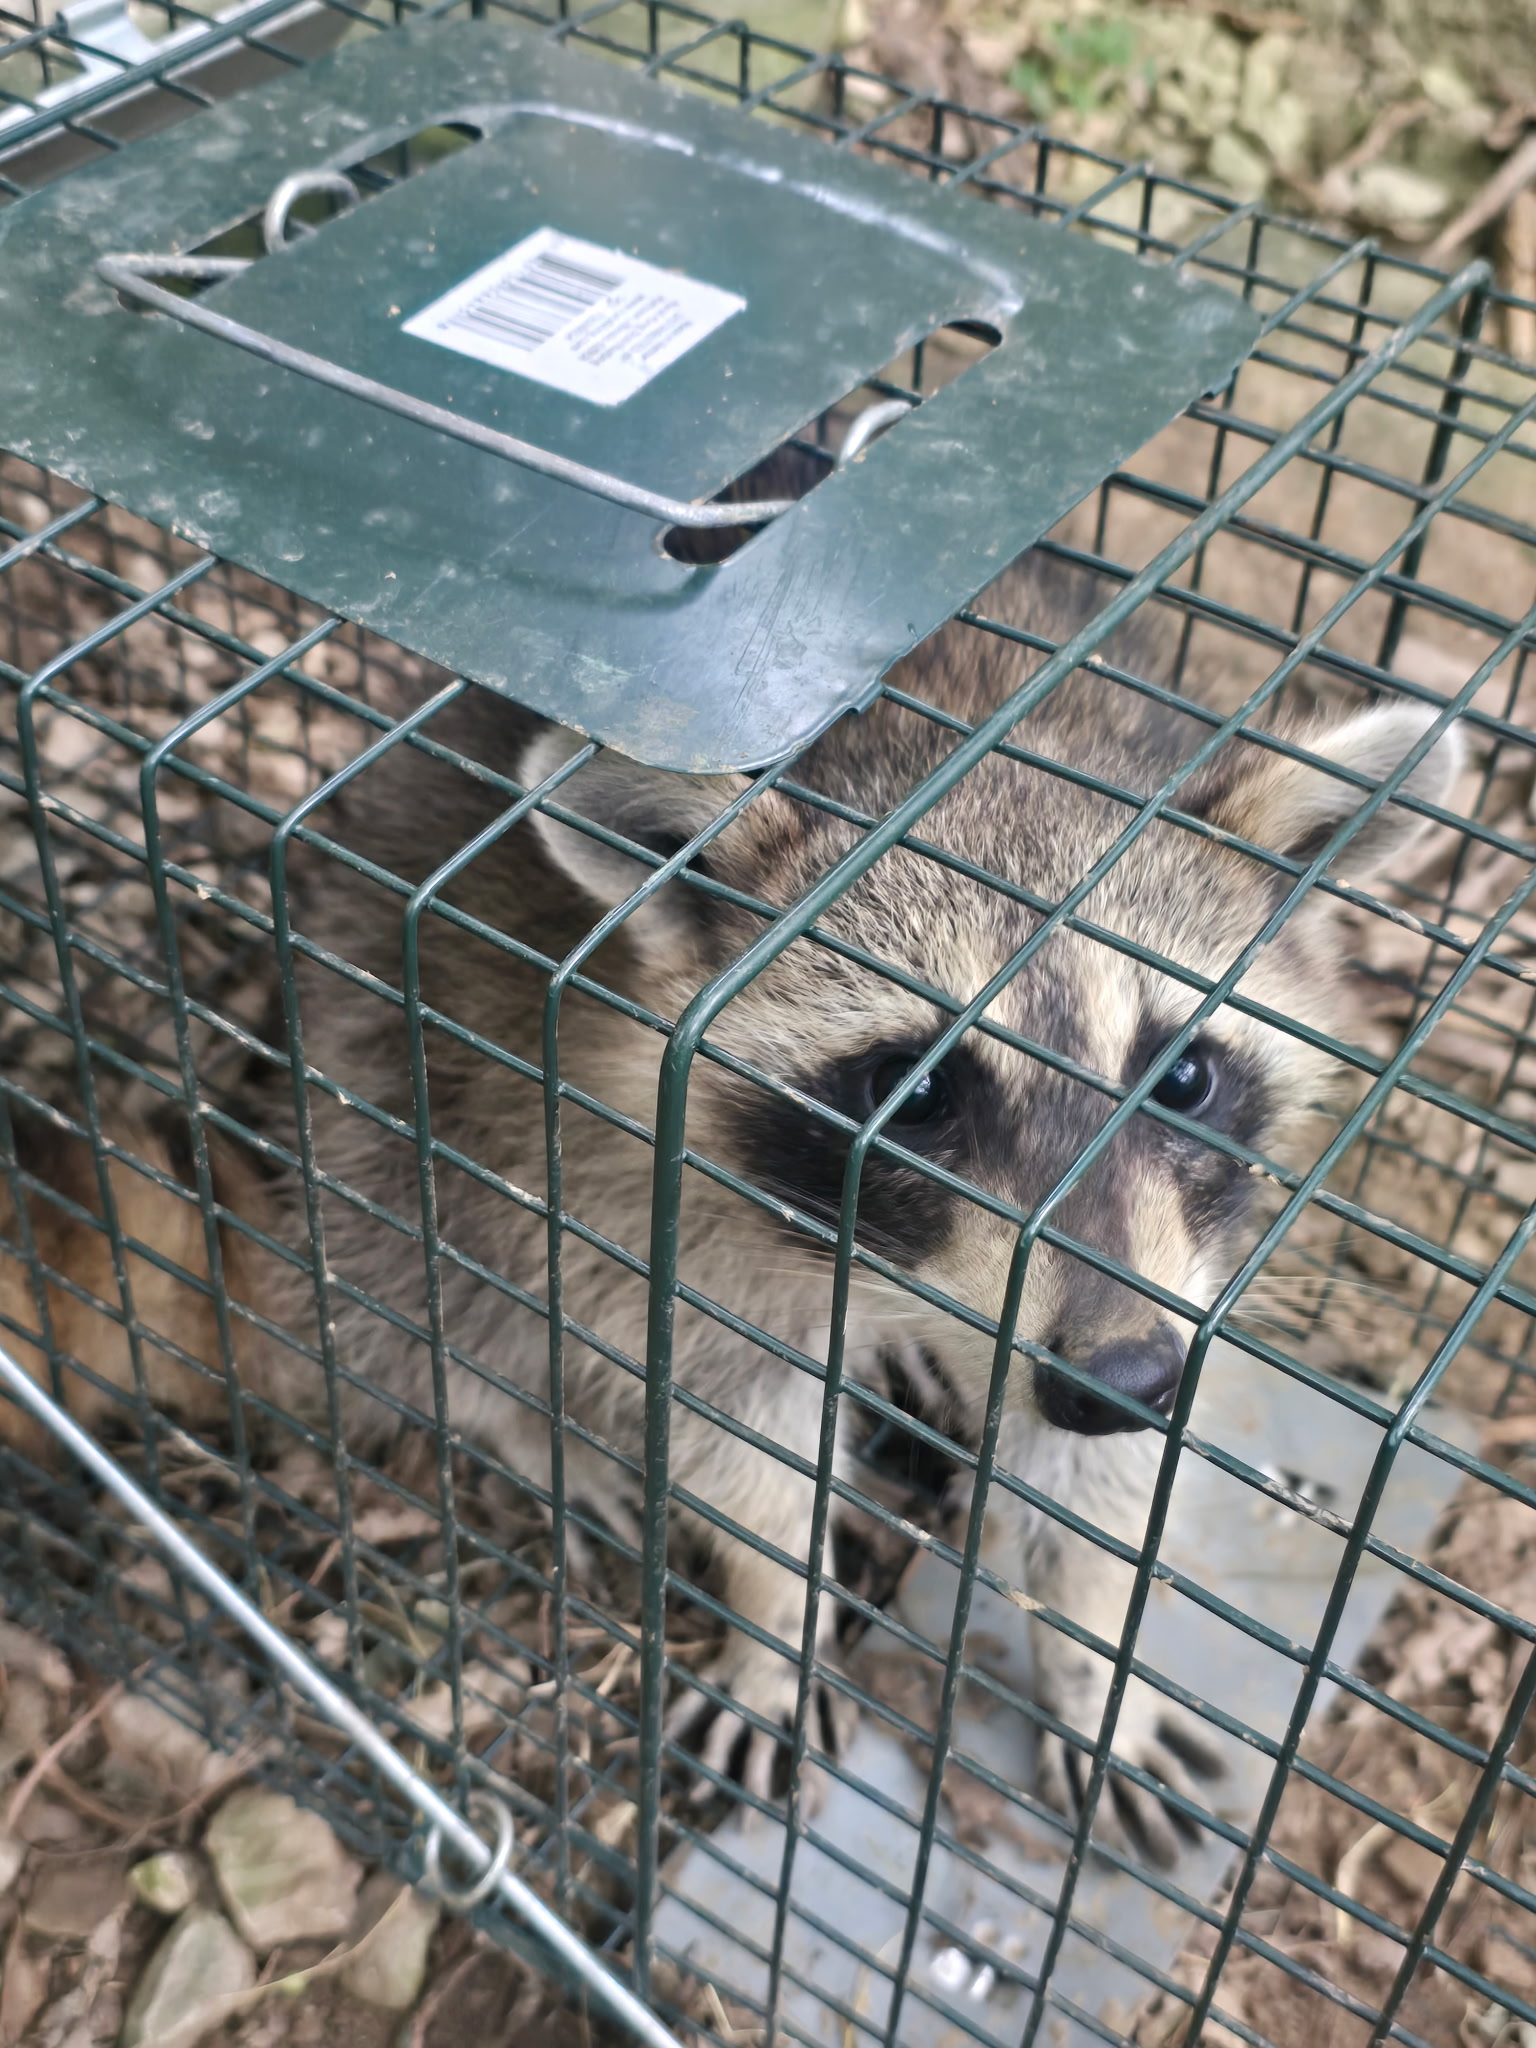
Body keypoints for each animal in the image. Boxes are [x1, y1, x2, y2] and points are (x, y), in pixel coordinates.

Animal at [254, 551, 1460, 1864]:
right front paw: (780, 1618)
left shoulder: (1153, 1288)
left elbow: (1094, 1483)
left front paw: (1095, 1665)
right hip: (380, 1057)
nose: (1119, 1382)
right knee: (420, 1257)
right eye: (916, 1095)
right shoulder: (652, 1184)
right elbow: (736, 1425)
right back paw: (529, 1425)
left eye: (1182, 1075)